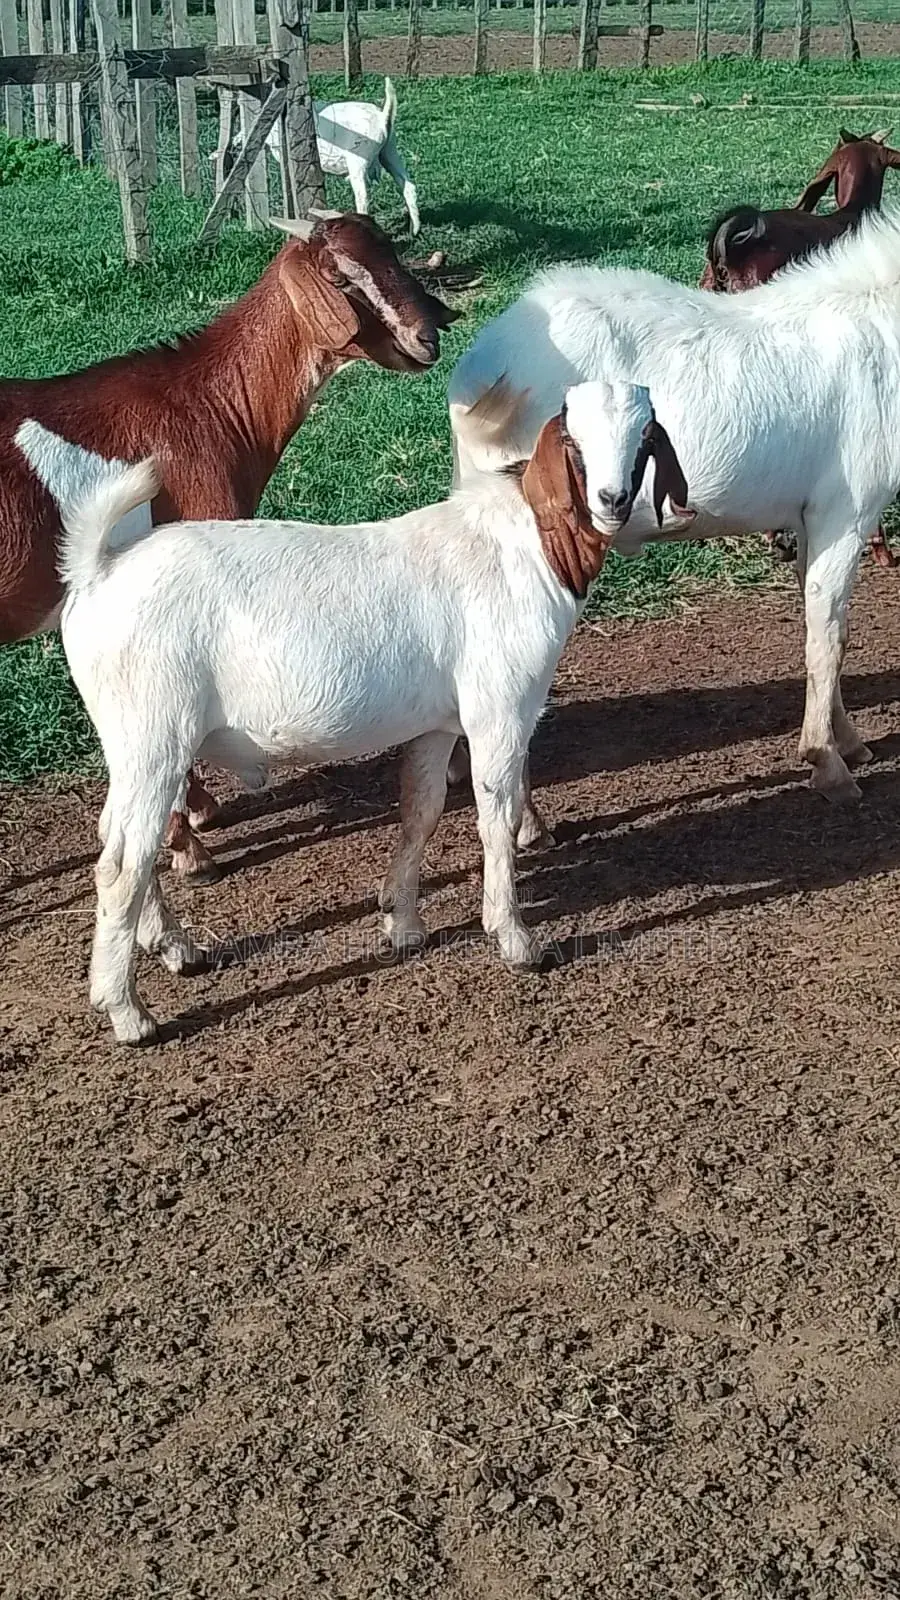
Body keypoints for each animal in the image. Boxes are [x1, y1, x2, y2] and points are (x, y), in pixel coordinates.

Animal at [3, 210, 458, 882]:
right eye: (340, 279)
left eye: (393, 255)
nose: (428, 336)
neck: (208, 407)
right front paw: (189, 847)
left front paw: (199, 813)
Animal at [41, 377, 687, 1043]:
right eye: (574, 441)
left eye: (644, 436)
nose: (612, 500)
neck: (529, 543)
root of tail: (99, 570)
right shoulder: (501, 712)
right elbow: (496, 819)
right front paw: (516, 939)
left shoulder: (438, 723)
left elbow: (421, 812)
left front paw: (402, 923)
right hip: (155, 734)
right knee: (123, 863)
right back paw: (128, 1011)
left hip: (135, 743)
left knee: (117, 838)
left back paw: (174, 949)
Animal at [217, 77, 421, 236]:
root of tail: (383, 117)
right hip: (390, 151)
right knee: (408, 185)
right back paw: (415, 230)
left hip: (359, 159)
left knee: (363, 196)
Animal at [447, 204, 900, 839]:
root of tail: (485, 365)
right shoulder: (847, 512)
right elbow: (827, 638)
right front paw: (828, 764)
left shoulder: (811, 518)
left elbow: (828, 627)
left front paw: (851, 743)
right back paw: (529, 821)